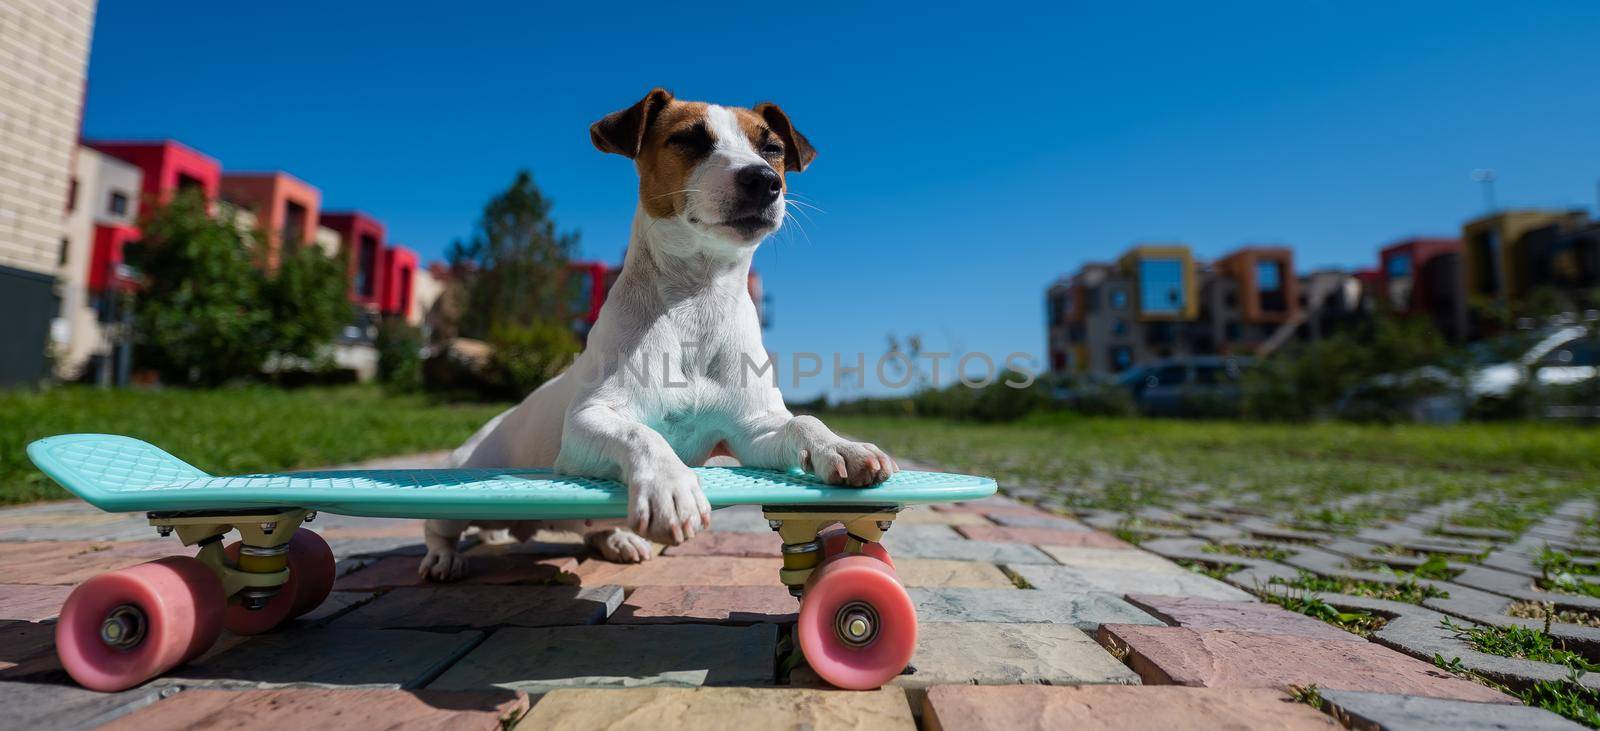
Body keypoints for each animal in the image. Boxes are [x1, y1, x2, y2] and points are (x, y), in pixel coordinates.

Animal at [422, 88, 902, 579]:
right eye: (689, 139)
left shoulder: (753, 432)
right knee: (439, 527)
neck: (696, 302)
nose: (764, 180)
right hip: (462, 490)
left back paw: (618, 539)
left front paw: (841, 446)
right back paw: (442, 558)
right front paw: (671, 487)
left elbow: (802, 422)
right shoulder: (587, 423)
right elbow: (643, 435)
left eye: (772, 148)